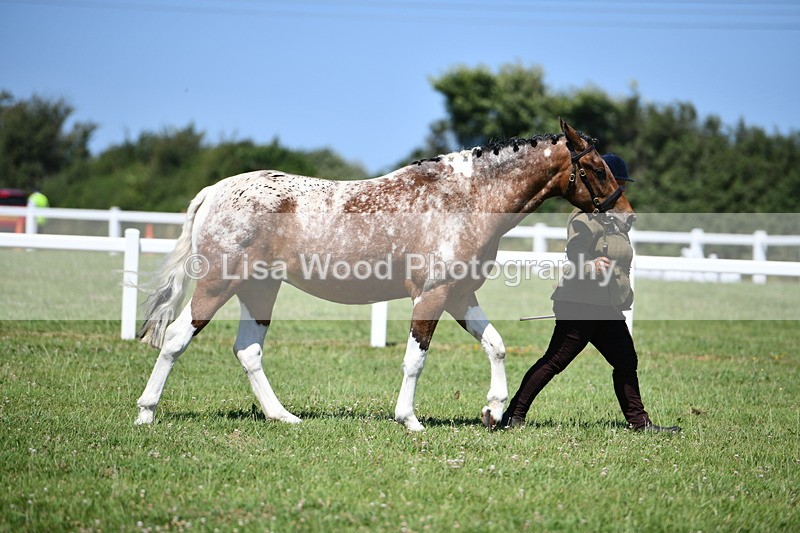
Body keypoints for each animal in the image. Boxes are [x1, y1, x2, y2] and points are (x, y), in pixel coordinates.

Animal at [134, 119, 634, 431]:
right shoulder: (432, 296)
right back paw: (146, 413)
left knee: (248, 351)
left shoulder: (458, 295)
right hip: (218, 285)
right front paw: (409, 420)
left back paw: (283, 417)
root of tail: (214, 191)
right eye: (595, 168)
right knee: (176, 339)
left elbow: (495, 345)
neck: (467, 198)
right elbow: (416, 359)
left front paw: (493, 411)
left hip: (260, 290)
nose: (627, 216)